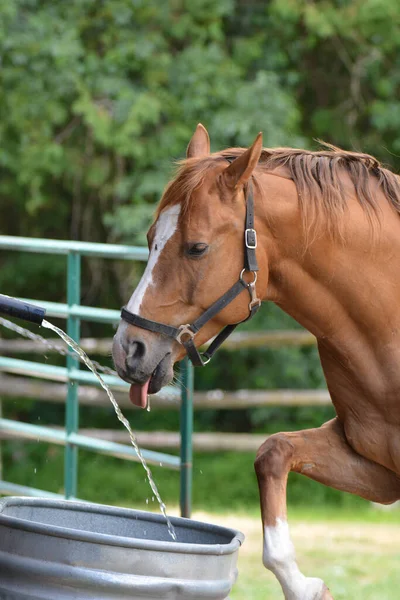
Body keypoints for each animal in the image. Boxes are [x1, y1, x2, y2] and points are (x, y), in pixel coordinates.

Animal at [111, 123, 400, 600]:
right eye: (151, 240)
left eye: (197, 248)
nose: (127, 349)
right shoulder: (378, 468)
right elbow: (272, 453)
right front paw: (304, 585)